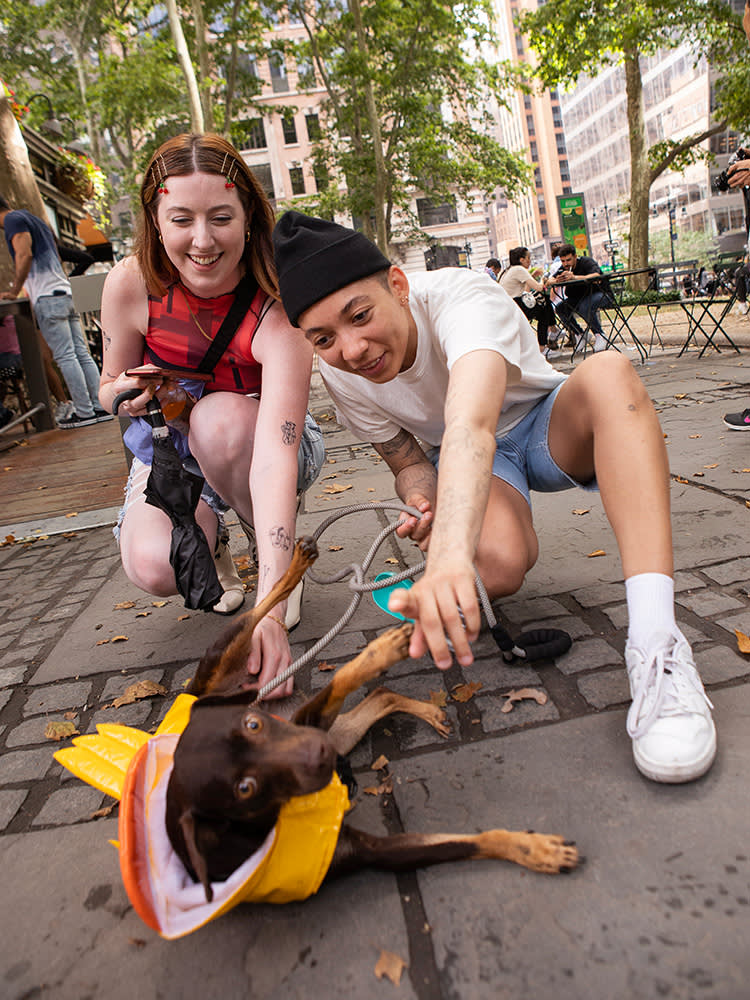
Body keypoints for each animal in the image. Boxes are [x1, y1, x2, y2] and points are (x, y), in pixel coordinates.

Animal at [167, 536, 584, 904]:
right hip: (325, 726)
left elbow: (477, 840)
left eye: (252, 725)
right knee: (373, 693)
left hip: (252, 677)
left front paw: (536, 848)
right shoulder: (375, 852)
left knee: (266, 614)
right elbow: (468, 842)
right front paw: (538, 850)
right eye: (244, 789)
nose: (319, 752)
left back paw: (298, 565)